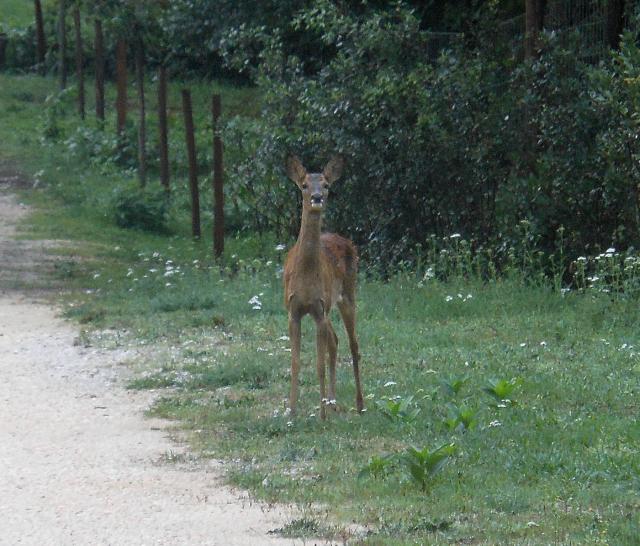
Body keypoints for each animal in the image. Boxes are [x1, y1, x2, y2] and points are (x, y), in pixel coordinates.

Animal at [282, 155, 362, 418]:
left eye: (326, 185)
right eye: (304, 185)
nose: (317, 197)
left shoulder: (319, 309)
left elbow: (318, 363)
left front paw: (321, 416)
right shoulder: (293, 310)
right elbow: (295, 362)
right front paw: (292, 411)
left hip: (347, 294)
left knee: (353, 345)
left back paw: (359, 404)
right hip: (329, 308)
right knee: (334, 341)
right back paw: (332, 401)